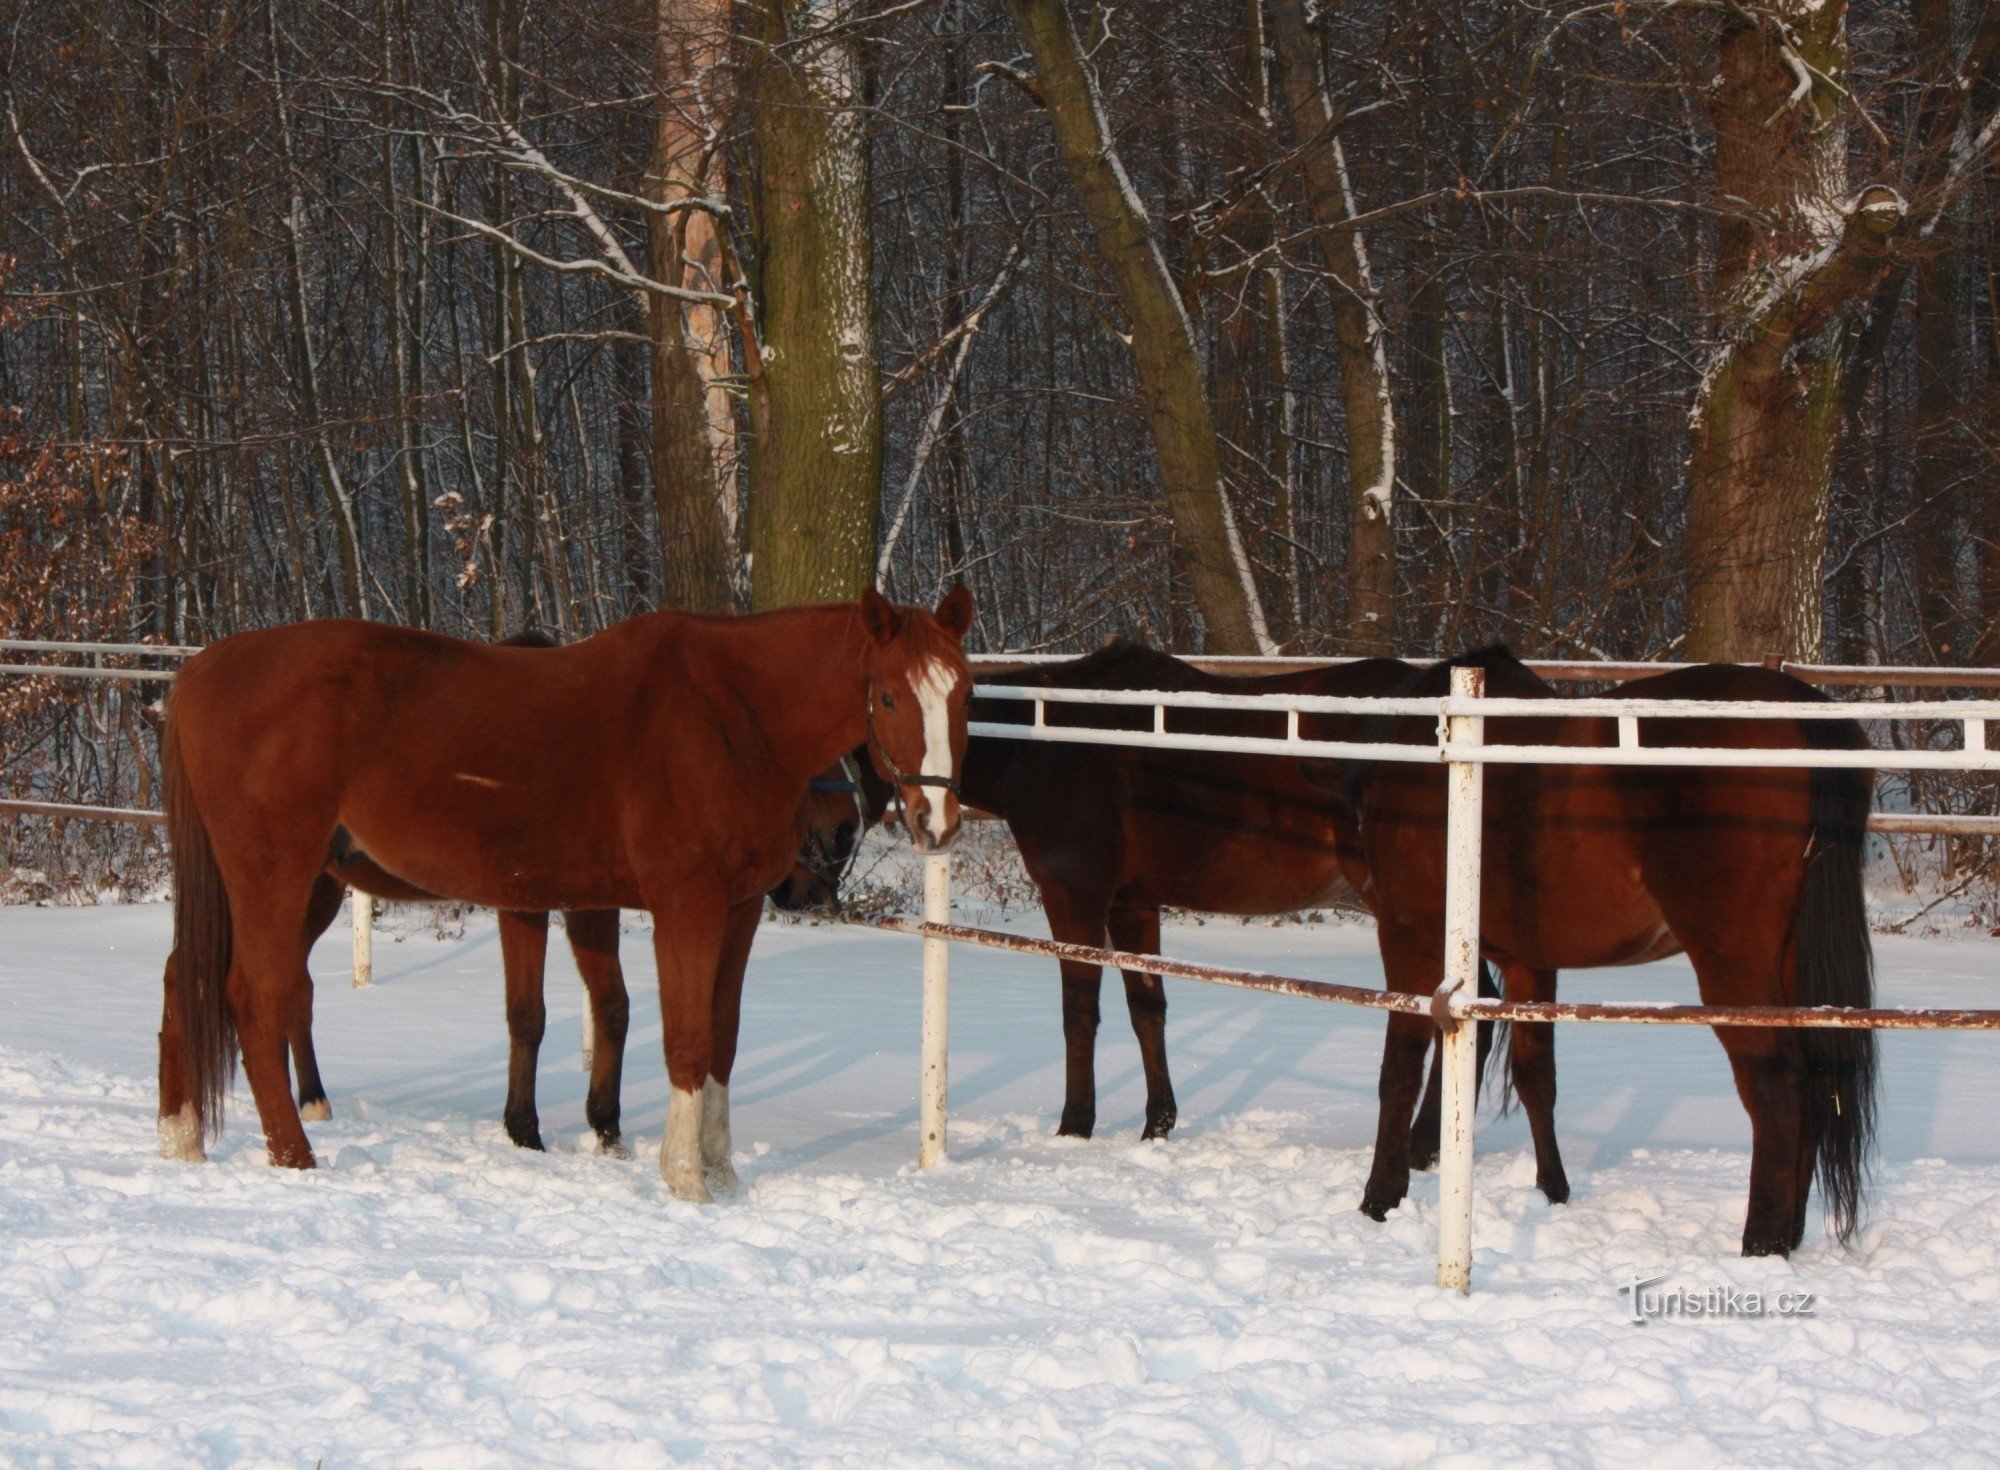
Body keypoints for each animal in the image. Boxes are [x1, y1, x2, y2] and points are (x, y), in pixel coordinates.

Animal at [156, 588, 968, 1200]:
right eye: (888, 697)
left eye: (963, 694)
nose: (937, 820)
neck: (728, 717)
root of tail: (200, 672)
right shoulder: (684, 907)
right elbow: (683, 1038)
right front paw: (684, 1180)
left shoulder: (733, 912)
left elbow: (720, 1041)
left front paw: (721, 1173)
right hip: (274, 876)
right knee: (258, 995)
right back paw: (294, 1155)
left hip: (275, 887)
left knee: (190, 979)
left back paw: (182, 1137)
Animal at [960, 648, 1496, 1152]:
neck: (1043, 745)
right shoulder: (1131, 904)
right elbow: (1146, 1009)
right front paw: (1158, 1124)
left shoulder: (1075, 895)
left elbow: (1079, 1012)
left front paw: (1074, 1126)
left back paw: (1424, 1145)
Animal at [1344, 648, 1872, 1256]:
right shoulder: (1527, 960)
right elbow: (1536, 1077)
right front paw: (1552, 1191)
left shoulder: (1408, 936)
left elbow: (1398, 1070)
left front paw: (1381, 1198)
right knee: (1816, 1077)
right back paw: (1789, 1235)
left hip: (1735, 963)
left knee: (1778, 1085)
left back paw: (1761, 1245)